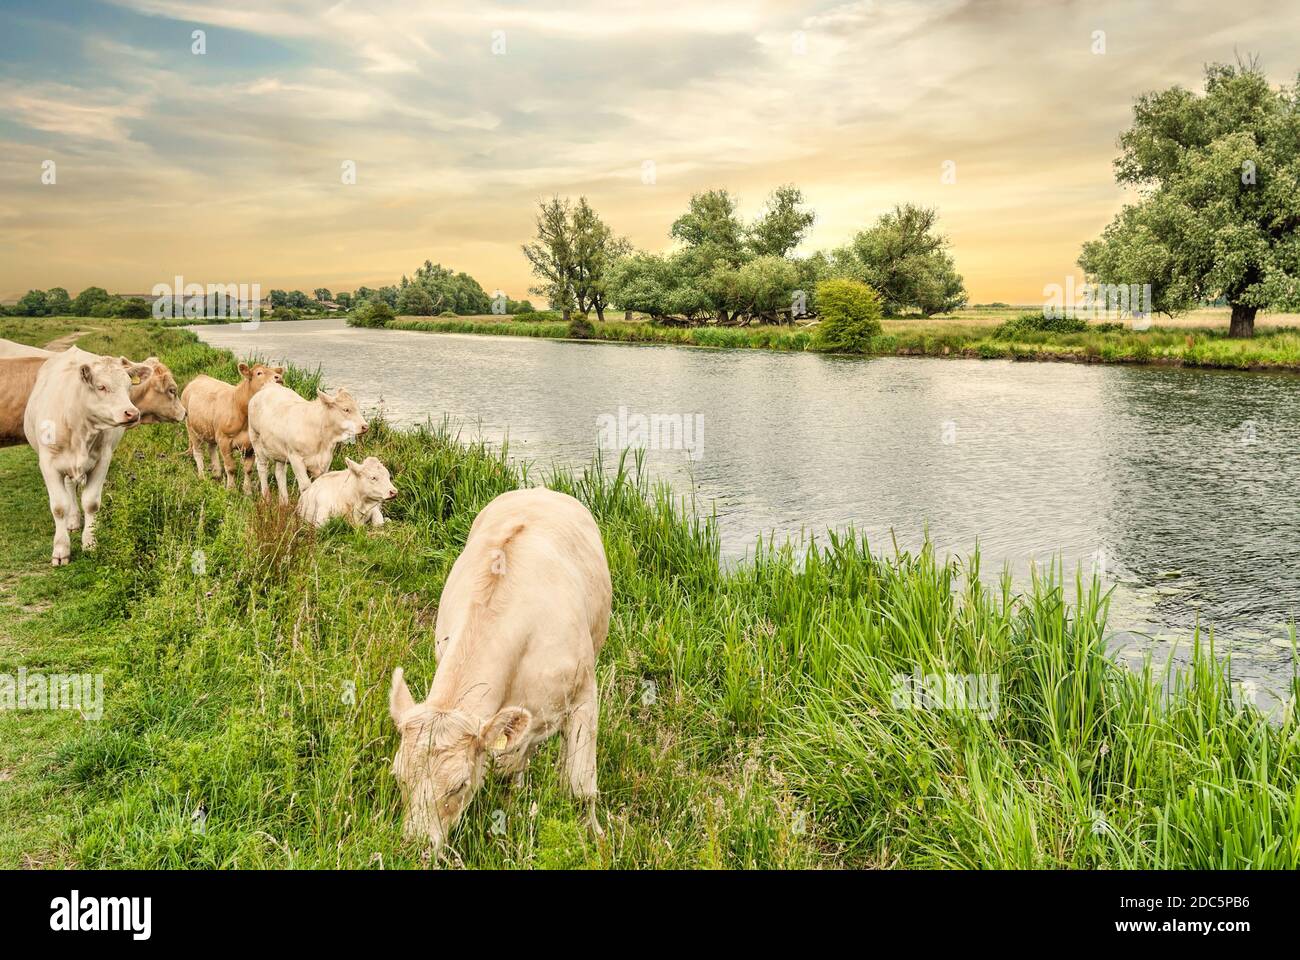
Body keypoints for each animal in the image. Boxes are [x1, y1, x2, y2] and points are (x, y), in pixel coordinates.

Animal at [21, 348, 153, 564]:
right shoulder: (48, 464)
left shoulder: (102, 460)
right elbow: (59, 507)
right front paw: (61, 550)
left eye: (128, 386)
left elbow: (91, 503)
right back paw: (72, 520)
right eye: (101, 387)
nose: (132, 413)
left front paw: (90, 543)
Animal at [182, 361, 283, 494]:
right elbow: (231, 467)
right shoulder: (224, 441)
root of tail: (199, 377)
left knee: (211, 448)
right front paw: (231, 489)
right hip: (191, 427)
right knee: (198, 452)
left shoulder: (250, 445)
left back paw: (217, 473)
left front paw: (247, 491)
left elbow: (248, 469)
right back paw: (202, 476)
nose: (279, 377)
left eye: (275, 371)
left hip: (210, 429)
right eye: (259, 373)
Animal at [387, 489, 611, 858]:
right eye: (398, 775)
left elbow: (580, 784)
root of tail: (541, 490)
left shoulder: (583, 695)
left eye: (459, 786)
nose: (415, 847)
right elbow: (509, 769)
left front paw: (592, 837)